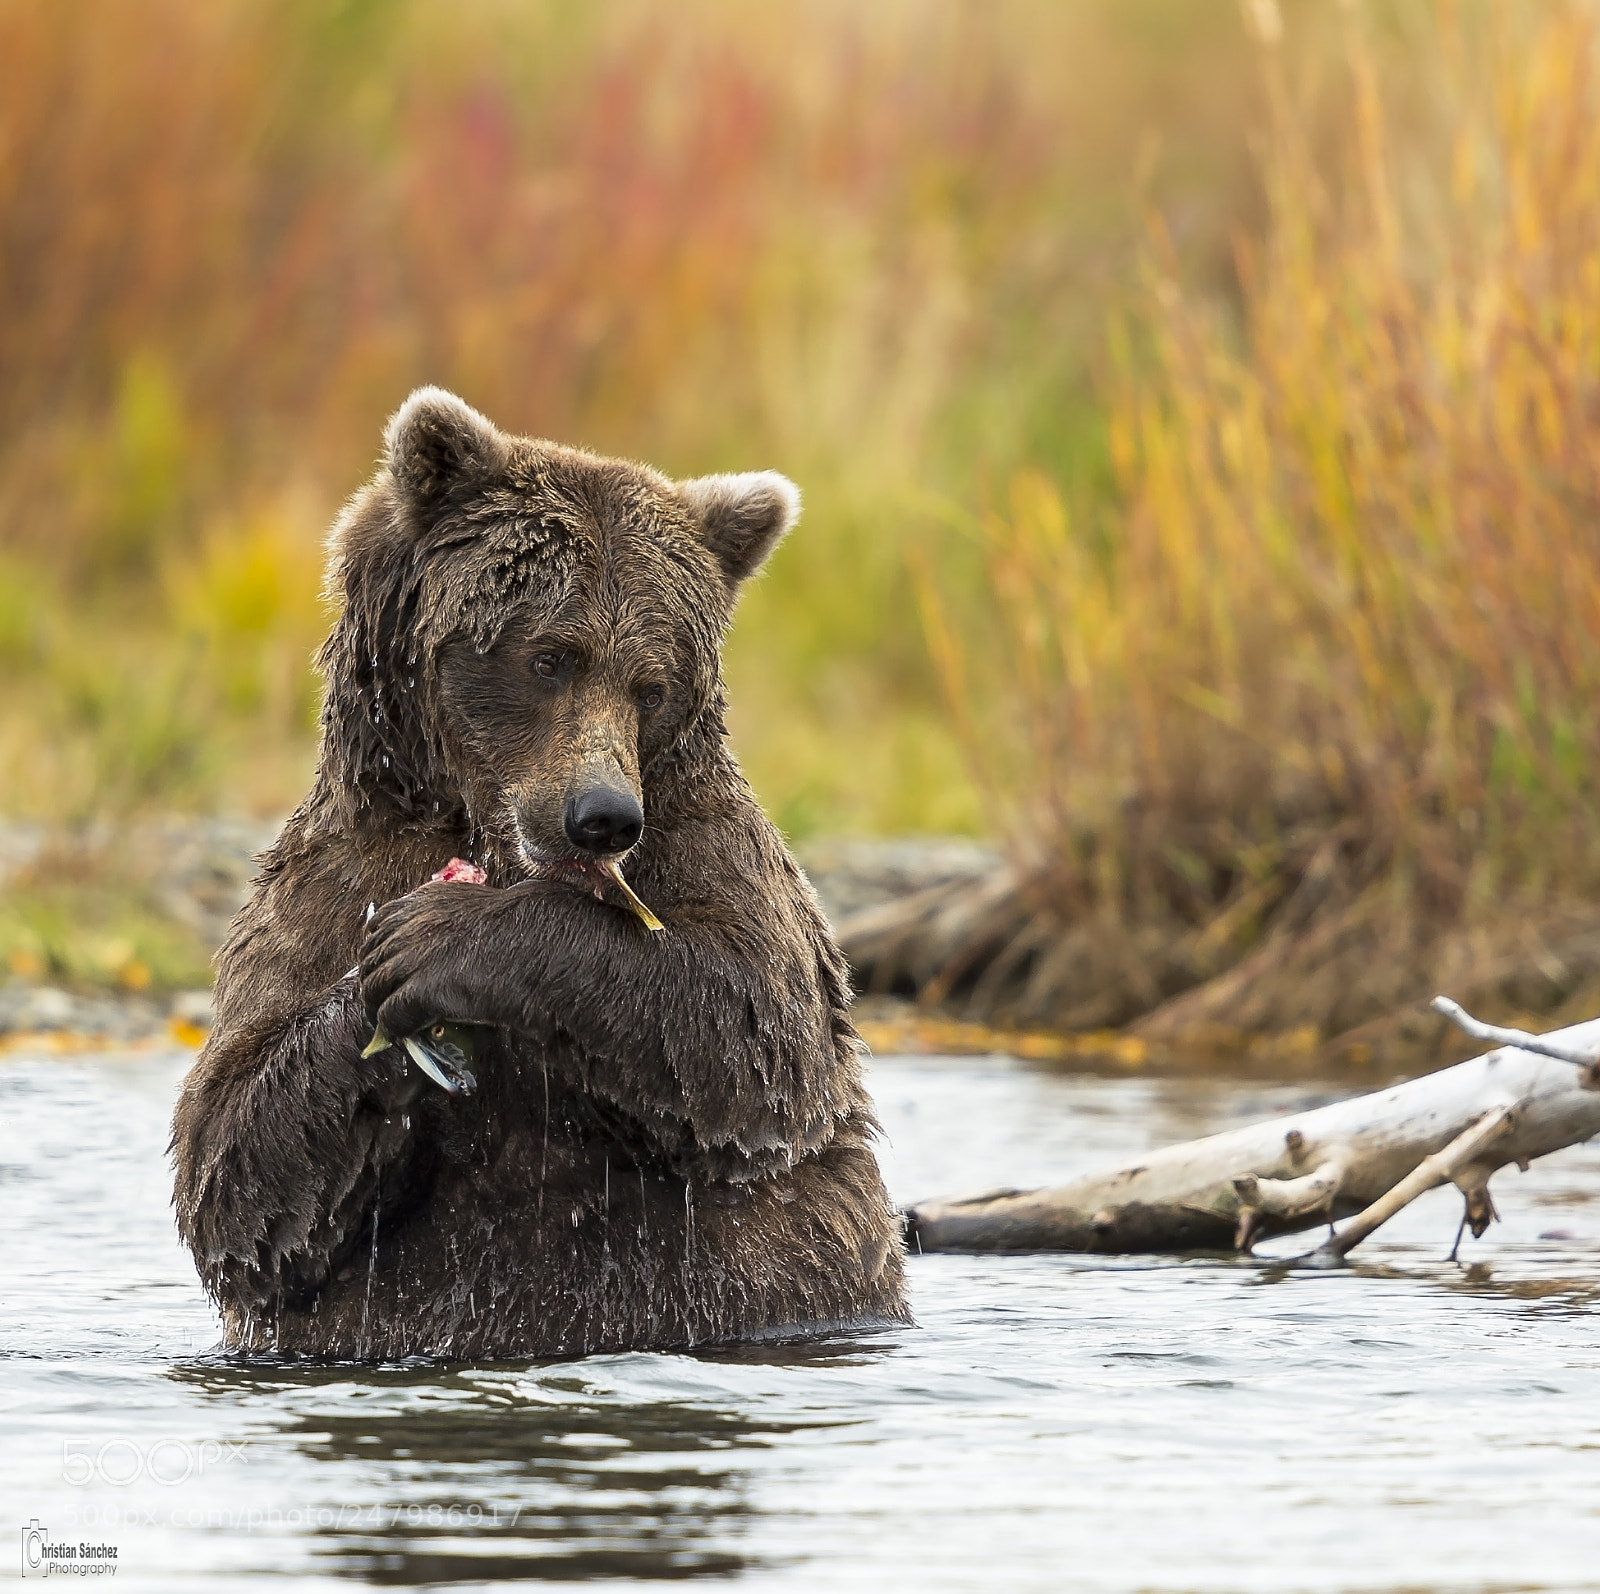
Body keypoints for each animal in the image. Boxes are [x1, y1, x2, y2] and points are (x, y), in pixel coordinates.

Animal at [170, 387, 909, 1359]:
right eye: (549, 656)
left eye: (651, 684)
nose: (601, 816)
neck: (484, 831)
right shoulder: (330, 872)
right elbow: (231, 1155)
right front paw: (382, 996)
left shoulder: (710, 844)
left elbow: (753, 1023)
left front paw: (445, 940)